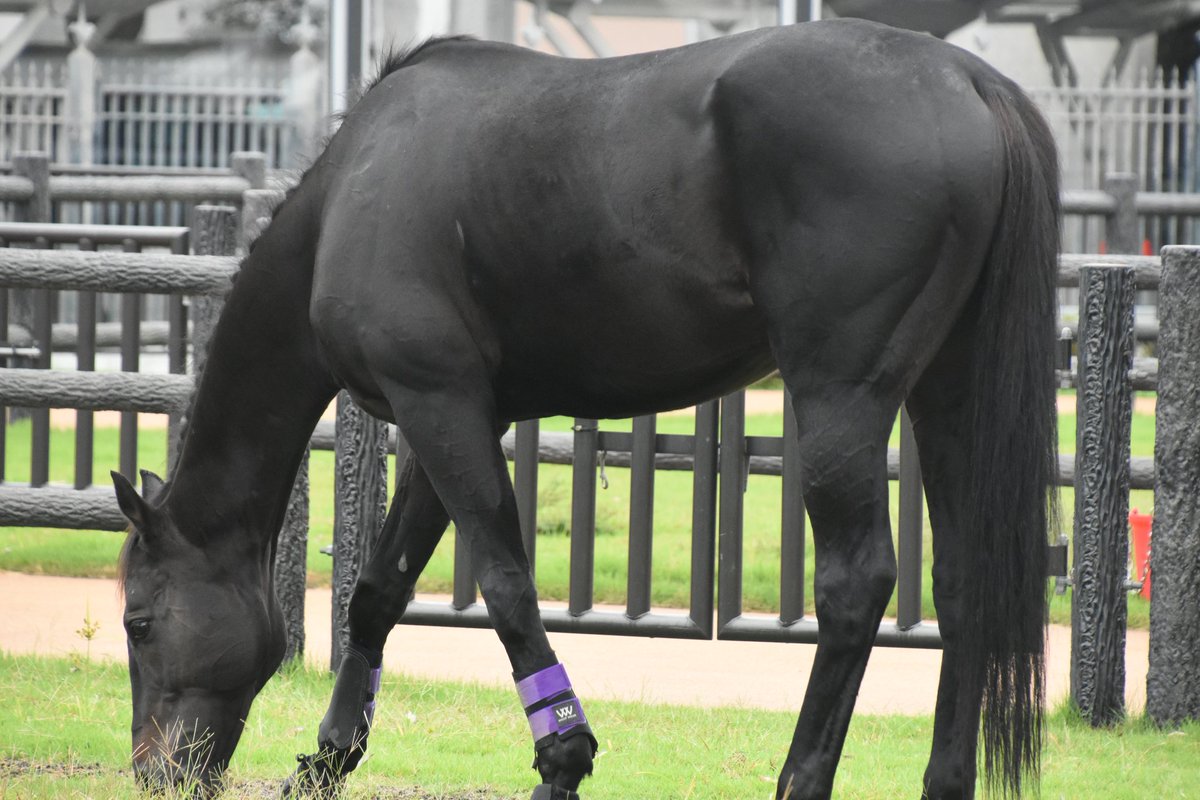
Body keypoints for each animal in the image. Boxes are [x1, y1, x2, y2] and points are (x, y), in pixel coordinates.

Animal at [113, 18, 1058, 800]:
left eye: (139, 620)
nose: (154, 772)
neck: (353, 191)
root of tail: (971, 80)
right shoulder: (450, 414)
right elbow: (379, 590)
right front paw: (330, 757)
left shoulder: (439, 404)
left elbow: (505, 583)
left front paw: (561, 758)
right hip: (946, 396)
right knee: (964, 578)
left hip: (839, 402)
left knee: (856, 583)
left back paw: (800, 779)